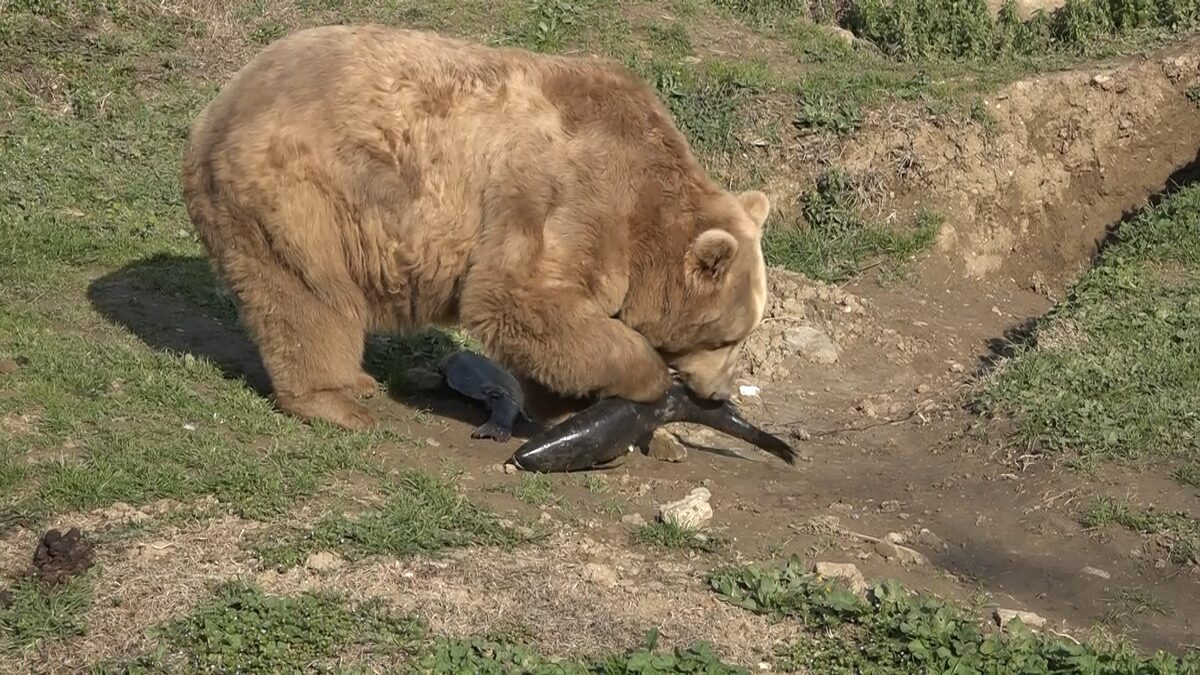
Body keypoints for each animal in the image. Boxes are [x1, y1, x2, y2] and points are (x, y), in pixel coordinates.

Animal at [182, 24, 772, 429]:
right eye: (728, 336)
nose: (719, 393)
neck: (642, 215)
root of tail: (218, 106)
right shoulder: (568, 197)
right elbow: (517, 297)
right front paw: (645, 378)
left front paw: (563, 405)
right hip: (298, 192)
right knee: (306, 293)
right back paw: (337, 401)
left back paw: (360, 382)